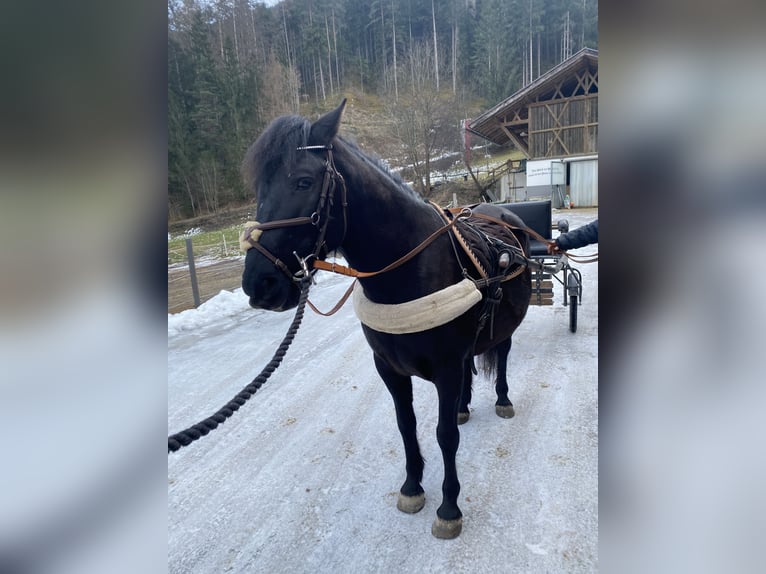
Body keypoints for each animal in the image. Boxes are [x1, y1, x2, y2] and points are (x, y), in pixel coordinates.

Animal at [243, 100, 532, 540]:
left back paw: (502, 399)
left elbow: (444, 435)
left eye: (304, 182)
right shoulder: (389, 369)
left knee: (501, 355)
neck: (409, 269)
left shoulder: (446, 368)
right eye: (259, 188)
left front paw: (449, 507)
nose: (260, 284)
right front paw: (413, 487)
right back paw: (464, 405)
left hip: (506, 328)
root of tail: (500, 213)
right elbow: (406, 425)